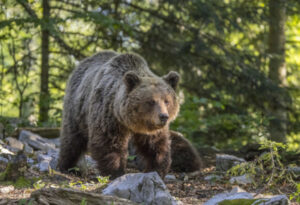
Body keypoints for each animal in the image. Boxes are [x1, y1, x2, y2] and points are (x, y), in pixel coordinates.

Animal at [58, 50, 180, 179]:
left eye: (167, 101)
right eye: (151, 101)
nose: (163, 116)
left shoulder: (150, 128)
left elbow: (155, 145)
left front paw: (157, 168)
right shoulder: (109, 116)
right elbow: (109, 143)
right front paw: (115, 171)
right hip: (77, 109)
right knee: (72, 139)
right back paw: (68, 167)